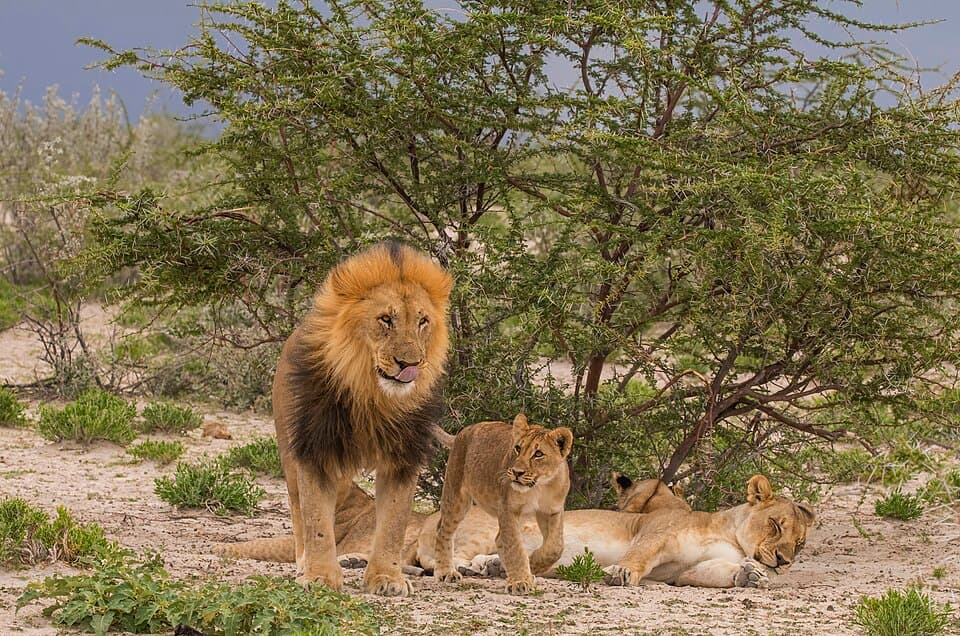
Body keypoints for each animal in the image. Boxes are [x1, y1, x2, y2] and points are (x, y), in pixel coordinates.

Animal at [263, 241, 451, 596]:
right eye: (385, 319)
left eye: (422, 321)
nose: (410, 364)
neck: (372, 393)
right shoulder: (315, 450)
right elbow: (316, 521)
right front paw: (320, 577)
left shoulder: (402, 458)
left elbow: (393, 523)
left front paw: (387, 578)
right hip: (289, 451)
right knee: (298, 512)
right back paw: (303, 564)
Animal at [432, 413, 573, 594]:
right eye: (518, 448)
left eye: (538, 454)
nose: (517, 472)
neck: (539, 486)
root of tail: (463, 432)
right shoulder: (508, 509)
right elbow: (515, 546)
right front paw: (520, 581)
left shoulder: (552, 510)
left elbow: (555, 546)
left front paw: (532, 566)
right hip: (456, 497)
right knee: (443, 531)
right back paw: (446, 572)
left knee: (499, 539)